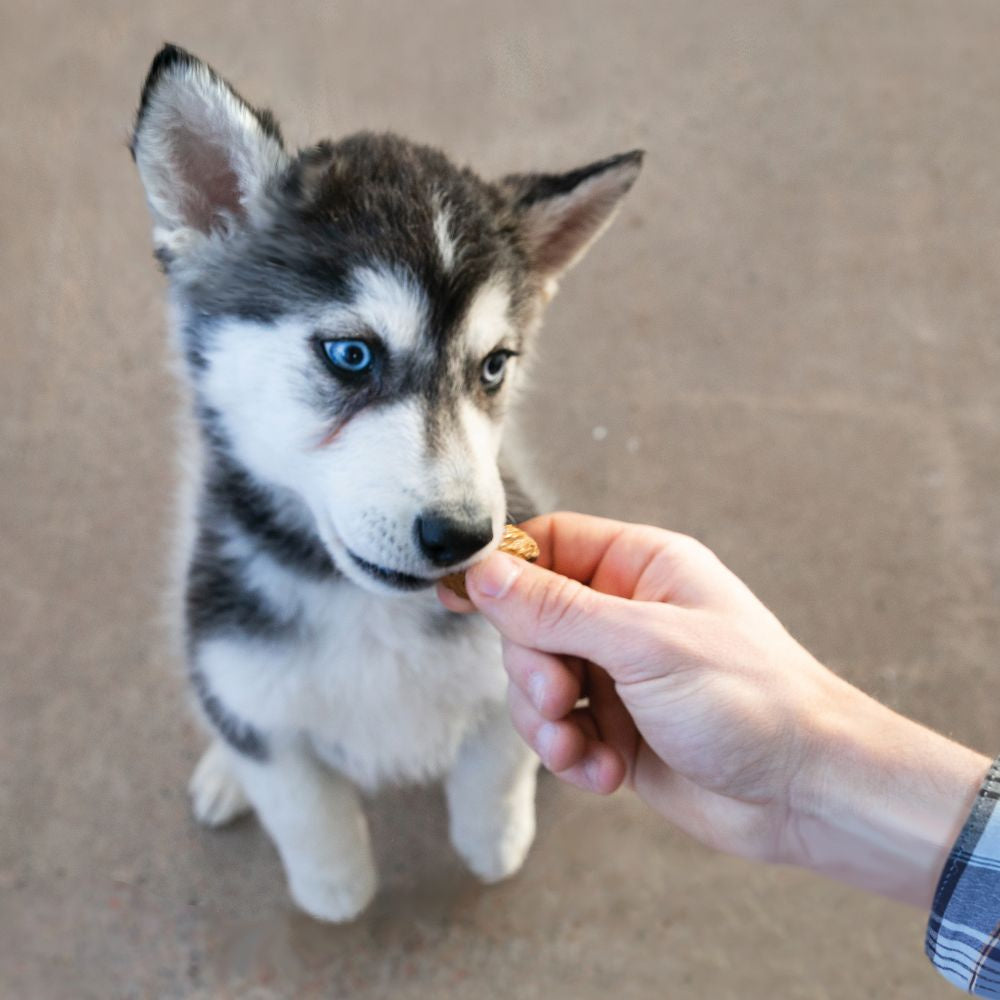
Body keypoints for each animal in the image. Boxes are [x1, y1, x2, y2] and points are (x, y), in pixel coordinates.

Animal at [131, 47, 640, 920]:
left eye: (494, 366)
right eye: (351, 354)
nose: (462, 536)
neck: (366, 608)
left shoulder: (504, 673)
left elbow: (496, 769)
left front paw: (495, 844)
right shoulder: (246, 681)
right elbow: (303, 804)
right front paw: (335, 886)